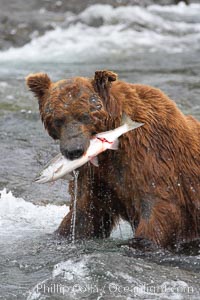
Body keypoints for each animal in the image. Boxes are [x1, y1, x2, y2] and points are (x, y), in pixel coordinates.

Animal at [26, 70, 200, 251]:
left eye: (85, 116)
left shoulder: (150, 156)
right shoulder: (95, 174)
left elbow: (158, 207)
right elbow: (84, 212)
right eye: (58, 119)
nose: (74, 150)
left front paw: (139, 243)